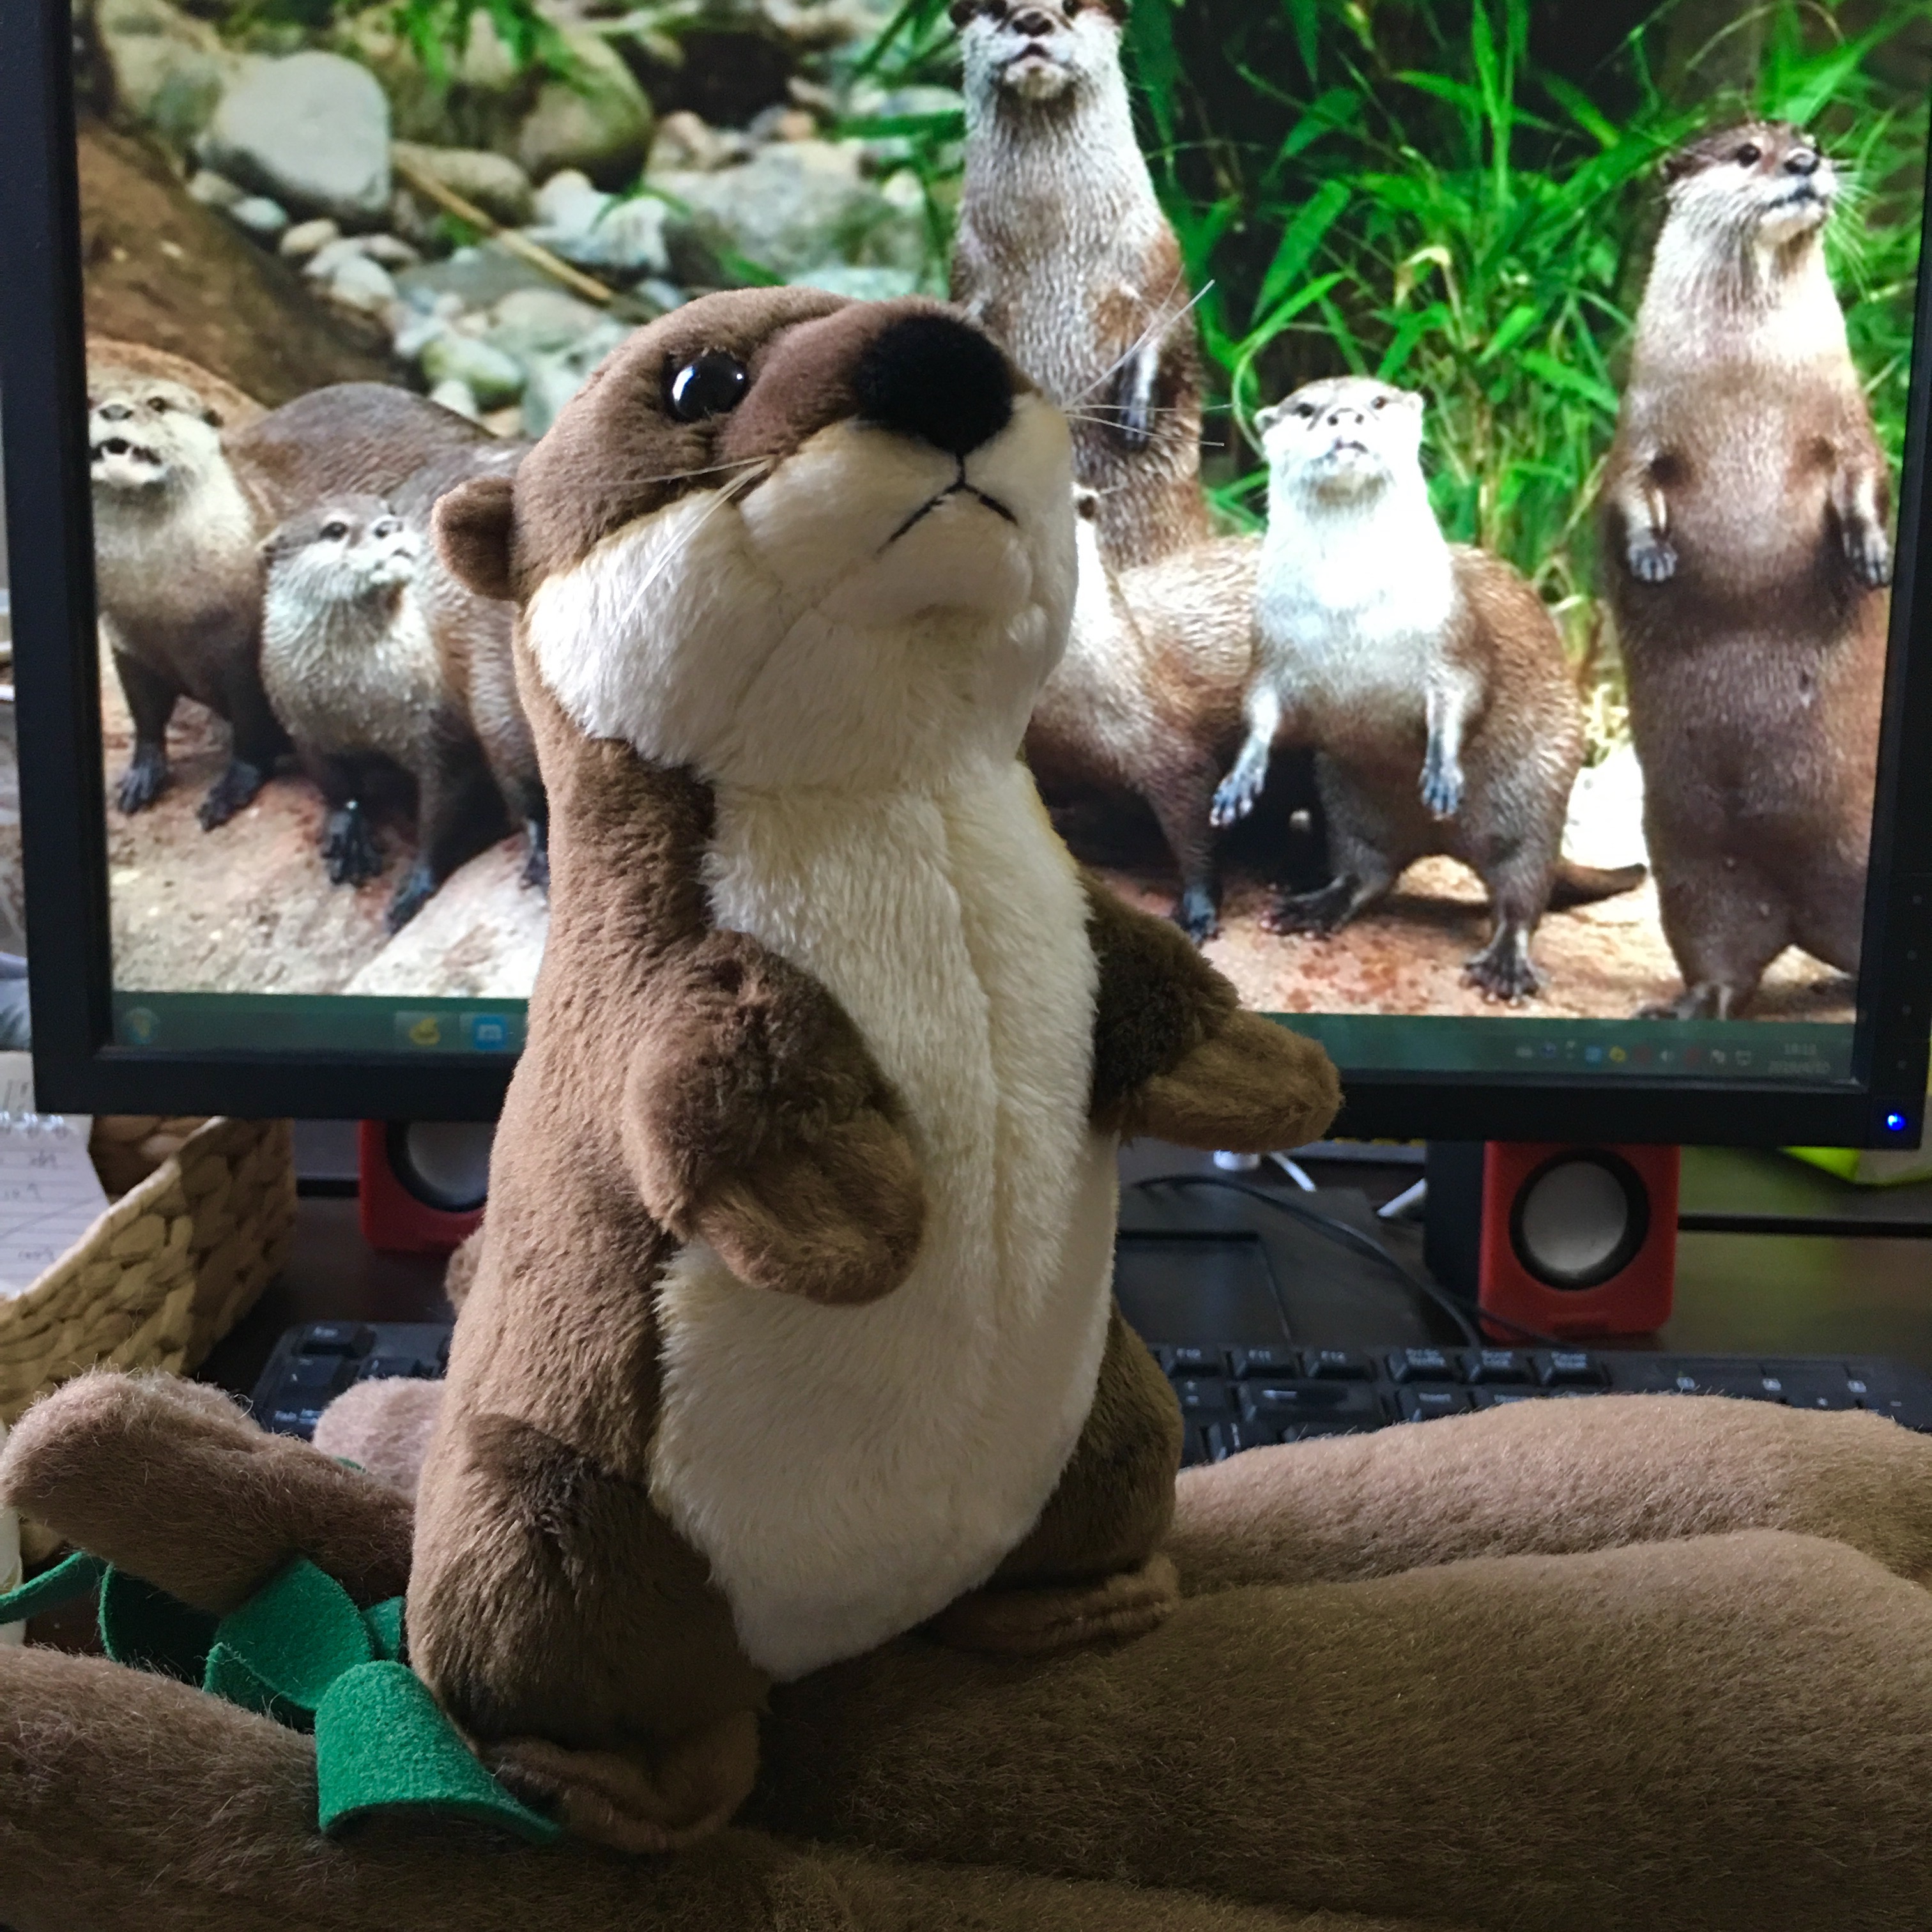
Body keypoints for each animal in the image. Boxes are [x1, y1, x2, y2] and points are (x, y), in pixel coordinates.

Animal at [90, 374, 499, 829]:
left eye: (158, 403)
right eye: (90, 399)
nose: (113, 410)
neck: (164, 605)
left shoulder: (245, 652)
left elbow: (251, 730)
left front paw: (230, 789)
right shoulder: (127, 643)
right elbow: (145, 716)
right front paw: (141, 776)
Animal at [258, 487, 544, 931]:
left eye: (389, 510)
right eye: (335, 529)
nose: (388, 526)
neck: (356, 703)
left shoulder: (442, 733)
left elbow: (443, 812)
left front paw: (418, 883)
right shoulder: (299, 721)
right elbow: (332, 783)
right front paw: (347, 833)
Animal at [950, 0, 1211, 572]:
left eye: (1071, 6)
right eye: (994, 8)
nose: (1033, 19)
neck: (1052, 248)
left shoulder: (1154, 254)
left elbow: (1170, 324)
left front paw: (1134, 415)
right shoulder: (967, 273)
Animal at [1213, 376, 1644, 1002]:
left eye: (1377, 401)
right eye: (1307, 408)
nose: (1345, 416)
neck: (1349, 607)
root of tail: (1441, 842)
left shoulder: (1454, 638)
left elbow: (1464, 697)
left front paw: (1442, 771)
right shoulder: (1269, 648)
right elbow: (1261, 712)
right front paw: (1240, 779)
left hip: (1536, 799)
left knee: (1521, 894)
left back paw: (1505, 963)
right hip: (1349, 803)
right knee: (1365, 872)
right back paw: (1315, 906)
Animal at [1601, 120, 1888, 1020]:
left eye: (1811, 138)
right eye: (1745, 154)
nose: (1805, 163)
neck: (1749, 393)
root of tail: (1807, 912)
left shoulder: (1849, 429)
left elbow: (1869, 482)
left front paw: (1873, 556)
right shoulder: (1637, 439)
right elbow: (1625, 500)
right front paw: (1651, 559)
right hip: (1694, 857)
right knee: (1719, 946)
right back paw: (1690, 1005)